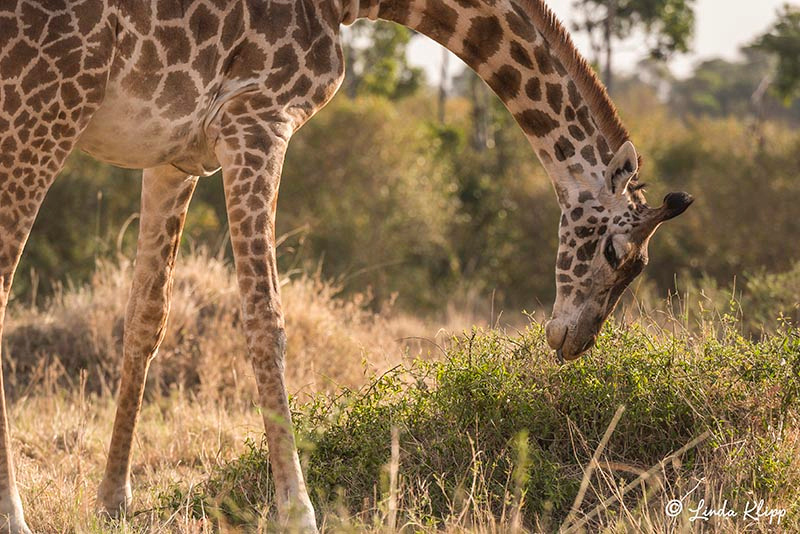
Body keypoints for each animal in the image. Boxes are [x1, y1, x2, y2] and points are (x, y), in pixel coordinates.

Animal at [0, 0, 692, 532]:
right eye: (617, 254)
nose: (573, 341)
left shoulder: (175, 155)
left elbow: (147, 319)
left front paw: (112, 502)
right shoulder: (258, 119)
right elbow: (266, 322)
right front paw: (298, 512)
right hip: (44, 103)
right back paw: (14, 514)